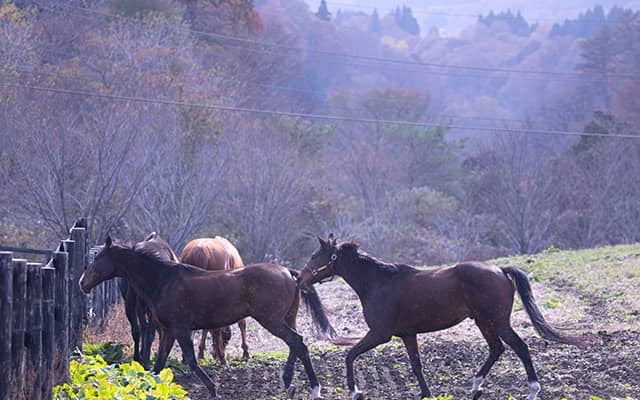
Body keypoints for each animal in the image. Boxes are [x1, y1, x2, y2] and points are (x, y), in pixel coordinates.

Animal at [298, 234, 583, 400]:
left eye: (315, 256)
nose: (300, 278)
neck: (379, 283)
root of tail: (500, 270)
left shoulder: (380, 334)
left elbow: (350, 355)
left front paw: (355, 391)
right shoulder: (407, 334)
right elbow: (416, 365)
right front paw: (426, 394)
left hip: (498, 321)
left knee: (519, 347)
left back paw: (532, 390)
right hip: (484, 322)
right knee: (496, 349)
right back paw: (476, 387)